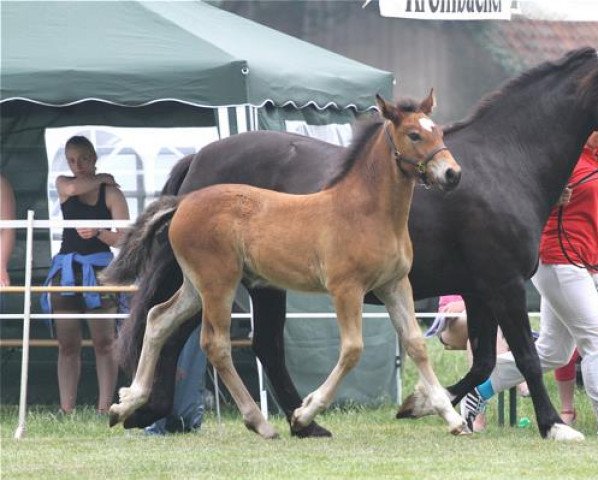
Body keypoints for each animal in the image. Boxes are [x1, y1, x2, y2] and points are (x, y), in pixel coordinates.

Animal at [108, 91, 466, 438]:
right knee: (215, 343)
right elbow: (352, 350)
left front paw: (452, 418)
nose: (452, 174)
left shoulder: (394, 284)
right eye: (414, 134)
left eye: (439, 132)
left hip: (196, 286)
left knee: (158, 319)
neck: (366, 211)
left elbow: (415, 344)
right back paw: (259, 422)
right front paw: (304, 413)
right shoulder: (346, 289)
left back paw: (125, 404)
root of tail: (183, 202)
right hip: (218, 283)